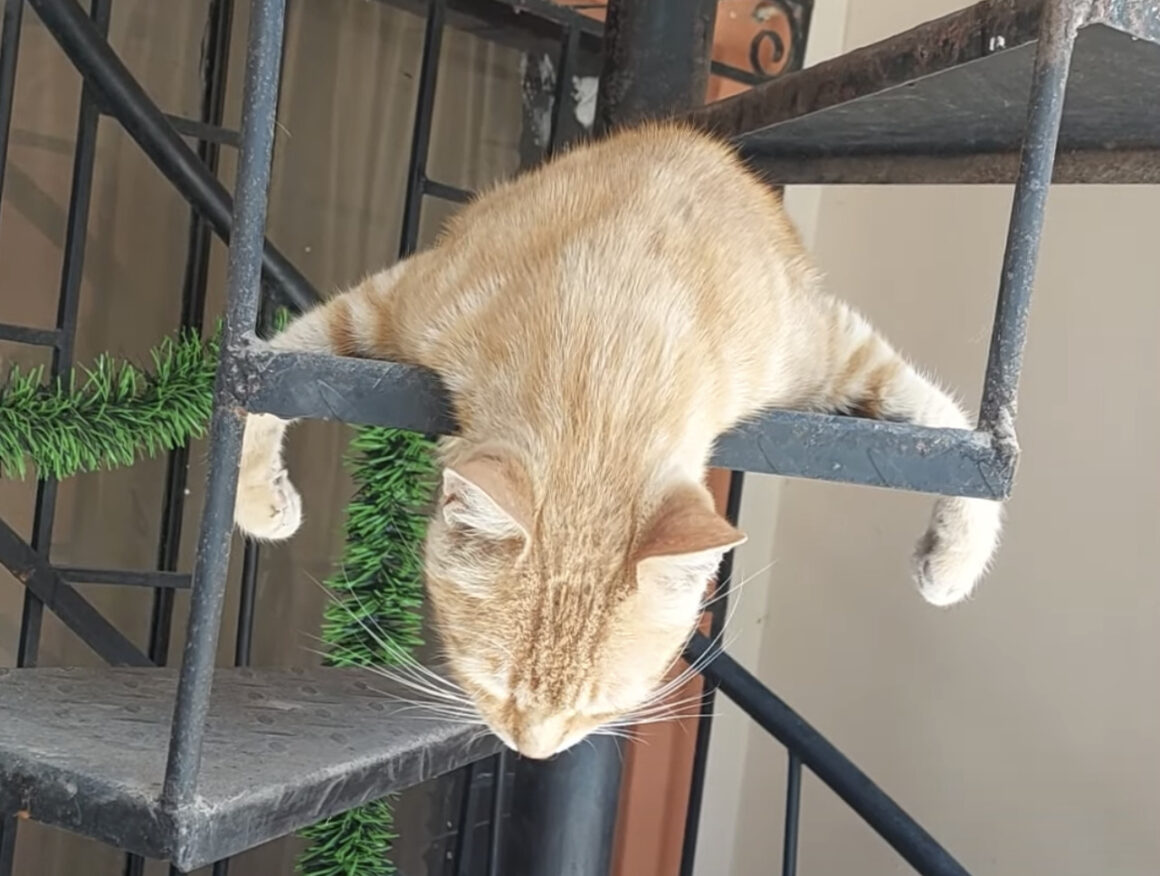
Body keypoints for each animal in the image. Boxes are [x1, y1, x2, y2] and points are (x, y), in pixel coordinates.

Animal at [234, 122, 1001, 759]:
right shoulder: (389, 304)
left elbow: (961, 435)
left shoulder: (827, 347)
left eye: (601, 704)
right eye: (493, 682)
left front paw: (955, 558)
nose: (533, 753)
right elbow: (270, 371)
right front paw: (257, 500)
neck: (608, 340)